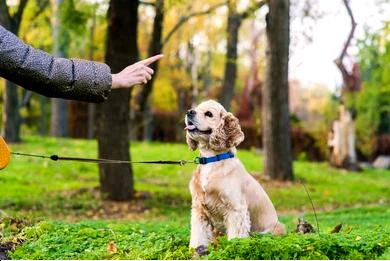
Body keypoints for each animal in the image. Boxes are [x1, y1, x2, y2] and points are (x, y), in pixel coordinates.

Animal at [184, 100, 284, 255]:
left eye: (209, 114)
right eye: (196, 108)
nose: (189, 112)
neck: (211, 160)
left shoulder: (236, 209)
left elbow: (236, 238)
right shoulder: (199, 209)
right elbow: (198, 235)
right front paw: (197, 250)